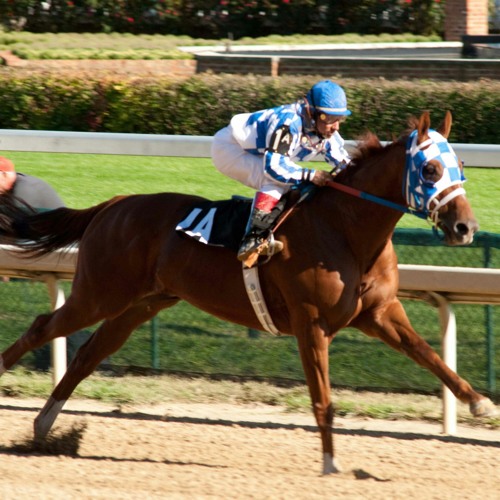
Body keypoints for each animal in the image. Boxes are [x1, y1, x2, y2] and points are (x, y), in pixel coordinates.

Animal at [0, 111, 494, 474]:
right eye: (430, 168)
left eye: (461, 168)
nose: (466, 228)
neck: (346, 229)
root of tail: (113, 204)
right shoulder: (310, 321)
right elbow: (323, 398)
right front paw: (331, 466)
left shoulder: (379, 313)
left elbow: (429, 356)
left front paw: (480, 403)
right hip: (100, 293)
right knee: (44, 327)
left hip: (139, 305)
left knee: (88, 355)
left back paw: (45, 426)